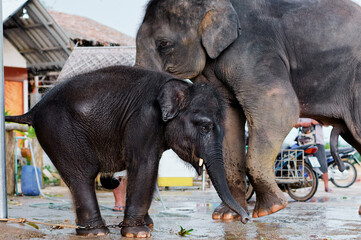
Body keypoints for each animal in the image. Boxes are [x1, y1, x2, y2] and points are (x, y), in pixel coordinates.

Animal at [6, 64, 248, 237]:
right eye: (205, 127)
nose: (246, 219)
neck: (182, 86)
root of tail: (33, 110)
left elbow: (150, 169)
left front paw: (146, 225)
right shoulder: (144, 118)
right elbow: (144, 165)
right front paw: (139, 233)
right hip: (60, 131)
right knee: (82, 174)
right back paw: (97, 232)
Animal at [136, 0, 361, 219]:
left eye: (163, 44)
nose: (246, 218)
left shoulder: (254, 52)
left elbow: (280, 108)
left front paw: (270, 209)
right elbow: (229, 120)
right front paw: (225, 216)